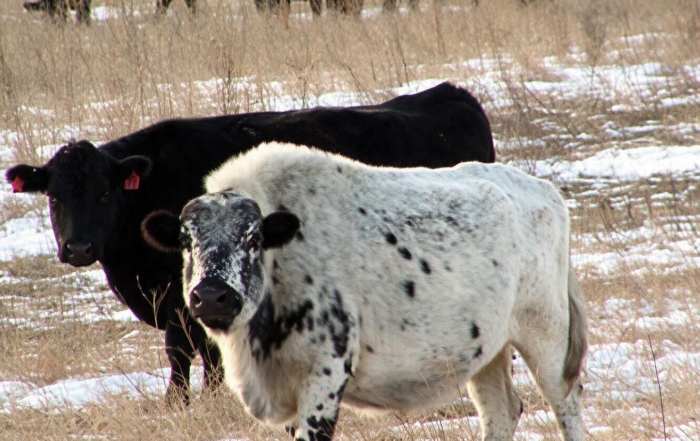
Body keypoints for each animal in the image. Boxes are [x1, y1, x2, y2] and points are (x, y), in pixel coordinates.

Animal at [5, 82, 495, 406]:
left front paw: (186, 403)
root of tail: (446, 94)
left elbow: (185, 356)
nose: (78, 248)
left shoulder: (186, 302)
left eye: (105, 193)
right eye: (54, 197)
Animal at [141, 142, 588, 441]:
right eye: (186, 240)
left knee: (566, 404)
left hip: (546, 338)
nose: (211, 296)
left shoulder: (325, 374)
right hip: (488, 351)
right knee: (502, 411)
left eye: (253, 238)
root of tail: (545, 192)